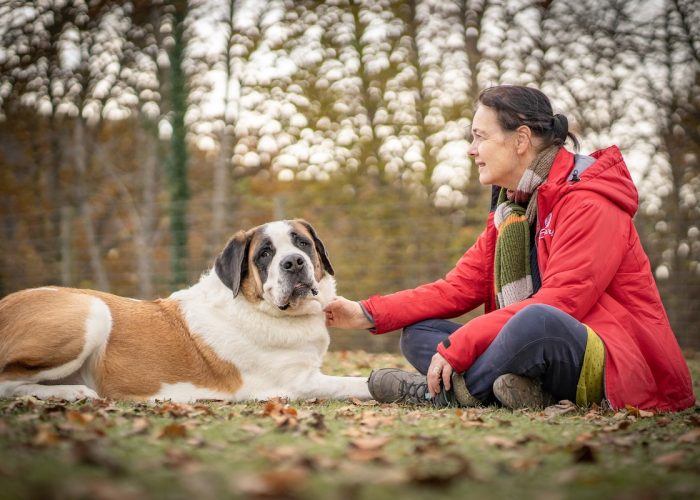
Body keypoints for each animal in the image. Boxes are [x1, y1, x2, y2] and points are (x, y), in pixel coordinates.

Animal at [0, 219, 372, 402]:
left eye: (302, 243)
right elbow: (356, 384)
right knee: (7, 382)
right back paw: (73, 393)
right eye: (265, 254)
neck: (260, 309)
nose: (293, 262)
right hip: (93, 312)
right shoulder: (299, 383)